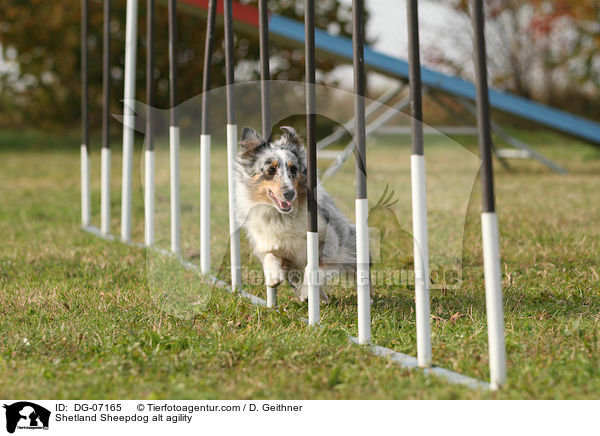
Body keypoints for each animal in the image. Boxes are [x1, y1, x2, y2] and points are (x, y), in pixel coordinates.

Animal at [236, 126, 356, 304]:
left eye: (294, 169)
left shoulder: (330, 240)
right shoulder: (273, 246)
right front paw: (273, 278)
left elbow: (314, 266)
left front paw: (307, 291)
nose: (289, 194)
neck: (283, 216)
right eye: (271, 170)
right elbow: (270, 256)